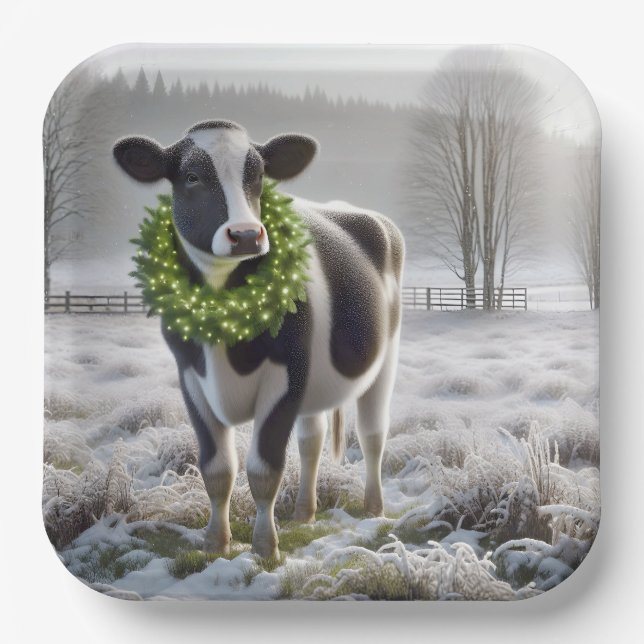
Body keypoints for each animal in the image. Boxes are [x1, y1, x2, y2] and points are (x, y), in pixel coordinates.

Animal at [113, 120, 403, 559]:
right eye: (191, 176)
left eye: (259, 175)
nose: (247, 235)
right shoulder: (190, 376)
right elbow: (217, 468)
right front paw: (215, 542)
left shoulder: (286, 375)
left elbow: (264, 468)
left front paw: (265, 547)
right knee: (312, 440)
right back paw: (304, 513)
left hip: (384, 360)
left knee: (372, 436)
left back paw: (374, 508)